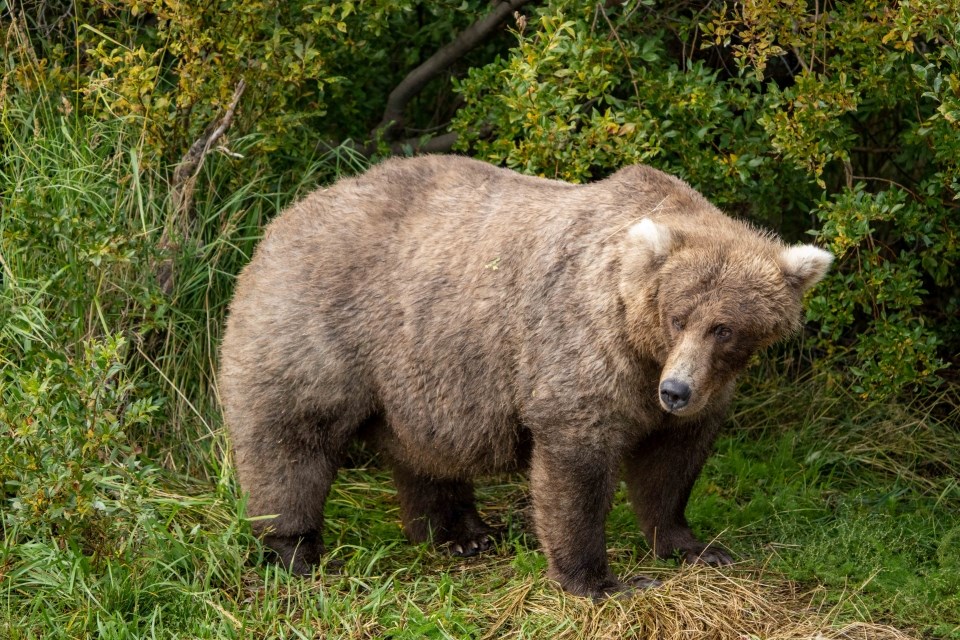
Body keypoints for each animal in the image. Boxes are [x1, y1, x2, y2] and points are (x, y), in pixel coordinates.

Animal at [219, 155, 832, 600]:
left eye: (725, 329)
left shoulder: (696, 390)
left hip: (417, 369)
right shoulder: (582, 350)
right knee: (291, 439)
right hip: (321, 327)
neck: (641, 348)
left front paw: (695, 546)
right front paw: (602, 581)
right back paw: (294, 551)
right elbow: (576, 463)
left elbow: (671, 464)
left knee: (424, 451)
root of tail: (284, 216)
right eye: (679, 315)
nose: (675, 391)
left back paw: (462, 535)